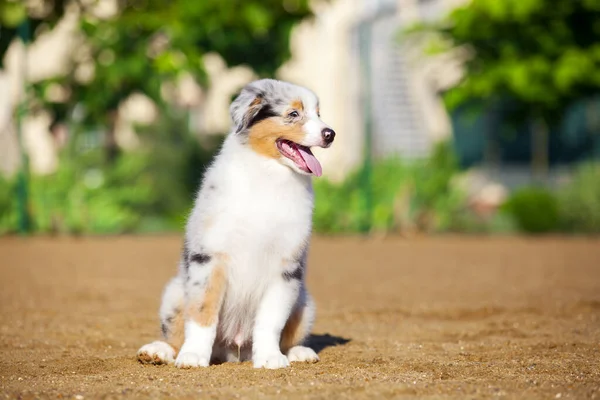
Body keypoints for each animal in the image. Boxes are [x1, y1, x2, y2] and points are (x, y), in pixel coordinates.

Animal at [137, 78, 338, 368]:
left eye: (319, 114)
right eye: (293, 114)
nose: (330, 134)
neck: (268, 175)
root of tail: (232, 350)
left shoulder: (286, 266)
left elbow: (270, 321)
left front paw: (270, 358)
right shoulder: (210, 256)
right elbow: (202, 312)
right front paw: (193, 356)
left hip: (304, 301)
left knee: (288, 336)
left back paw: (298, 352)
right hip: (173, 292)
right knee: (175, 335)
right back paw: (158, 351)